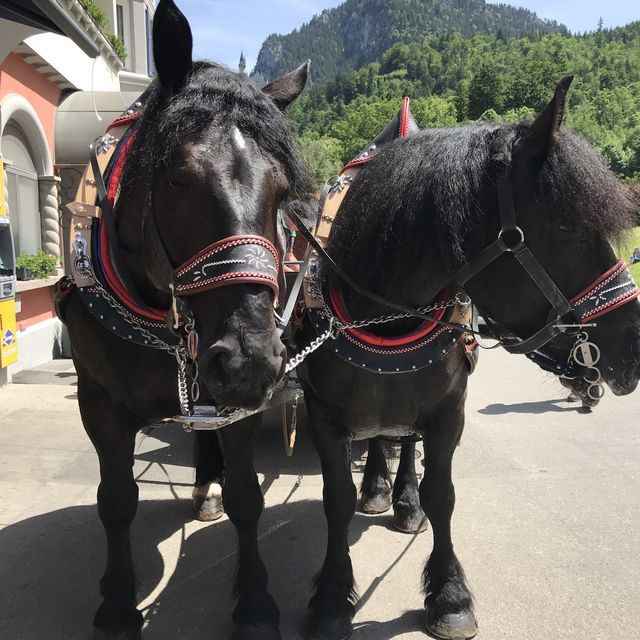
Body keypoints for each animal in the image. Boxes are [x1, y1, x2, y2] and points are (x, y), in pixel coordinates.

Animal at [58, 2, 314, 636]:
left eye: (281, 191)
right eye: (177, 177)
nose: (251, 358)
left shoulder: (238, 400)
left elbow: (248, 495)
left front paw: (254, 603)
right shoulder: (99, 403)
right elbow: (115, 500)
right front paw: (118, 605)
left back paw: (206, 487)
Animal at [296, 79, 640, 640]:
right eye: (567, 227)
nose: (633, 346)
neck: (383, 316)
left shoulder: (447, 411)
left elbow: (442, 493)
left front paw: (449, 593)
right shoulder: (321, 412)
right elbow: (336, 497)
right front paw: (330, 596)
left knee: (400, 440)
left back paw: (401, 498)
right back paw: (378, 487)